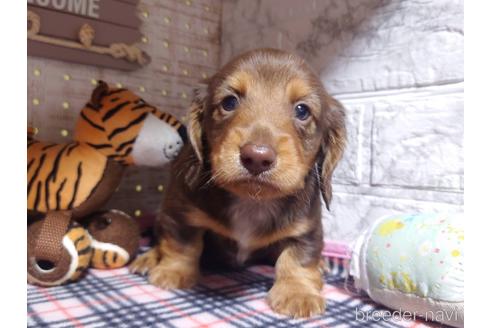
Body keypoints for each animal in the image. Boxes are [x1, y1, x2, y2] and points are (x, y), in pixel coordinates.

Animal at [131, 48, 346, 318]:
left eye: (302, 110)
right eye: (229, 102)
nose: (257, 157)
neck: (252, 200)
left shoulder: (306, 228)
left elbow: (298, 258)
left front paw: (298, 292)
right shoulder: (180, 213)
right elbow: (182, 243)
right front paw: (173, 272)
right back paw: (147, 259)